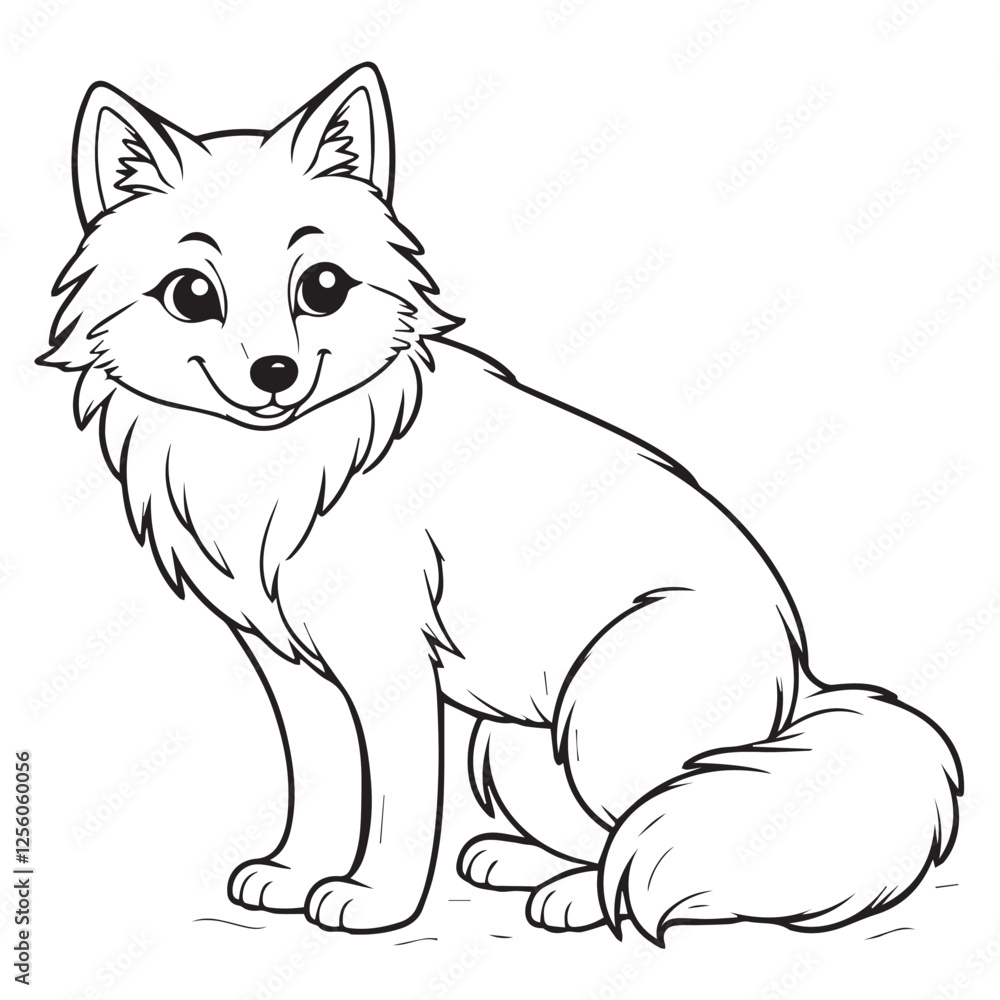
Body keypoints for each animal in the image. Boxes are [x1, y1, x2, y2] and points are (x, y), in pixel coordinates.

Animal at [40, 63, 962, 942]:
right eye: (191, 294)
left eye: (324, 287)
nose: (276, 373)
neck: (282, 470)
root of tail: (800, 683)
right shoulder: (293, 670)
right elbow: (323, 786)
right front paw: (294, 876)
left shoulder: (391, 669)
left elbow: (398, 804)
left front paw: (371, 902)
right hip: (511, 746)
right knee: (611, 838)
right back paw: (523, 866)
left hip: (597, 719)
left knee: (670, 845)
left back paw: (576, 900)